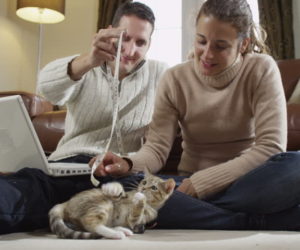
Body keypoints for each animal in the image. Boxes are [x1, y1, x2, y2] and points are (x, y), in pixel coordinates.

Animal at [48, 171, 176, 239]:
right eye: (144, 182)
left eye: (154, 188)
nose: (143, 189)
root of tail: (65, 203)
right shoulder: (124, 196)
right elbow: (120, 192)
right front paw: (113, 188)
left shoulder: (138, 220)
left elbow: (134, 217)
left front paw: (141, 198)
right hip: (104, 203)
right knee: (90, 223)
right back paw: (117, 232)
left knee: (91, 223)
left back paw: (118, 231)